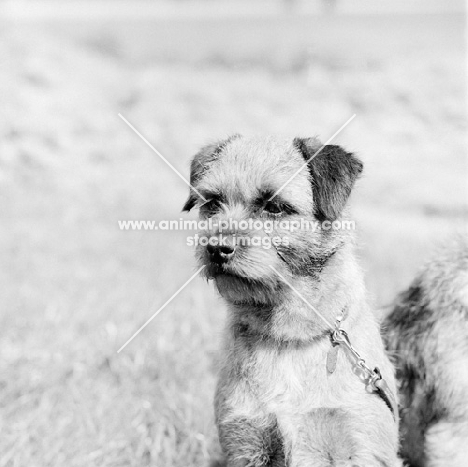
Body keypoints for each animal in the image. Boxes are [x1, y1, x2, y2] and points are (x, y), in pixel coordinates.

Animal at [183, 136, 398, 467]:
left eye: (274, 207)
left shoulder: (361, 447)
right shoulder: (245, 444)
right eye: (212, 202)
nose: (216, 248)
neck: (287, 337)